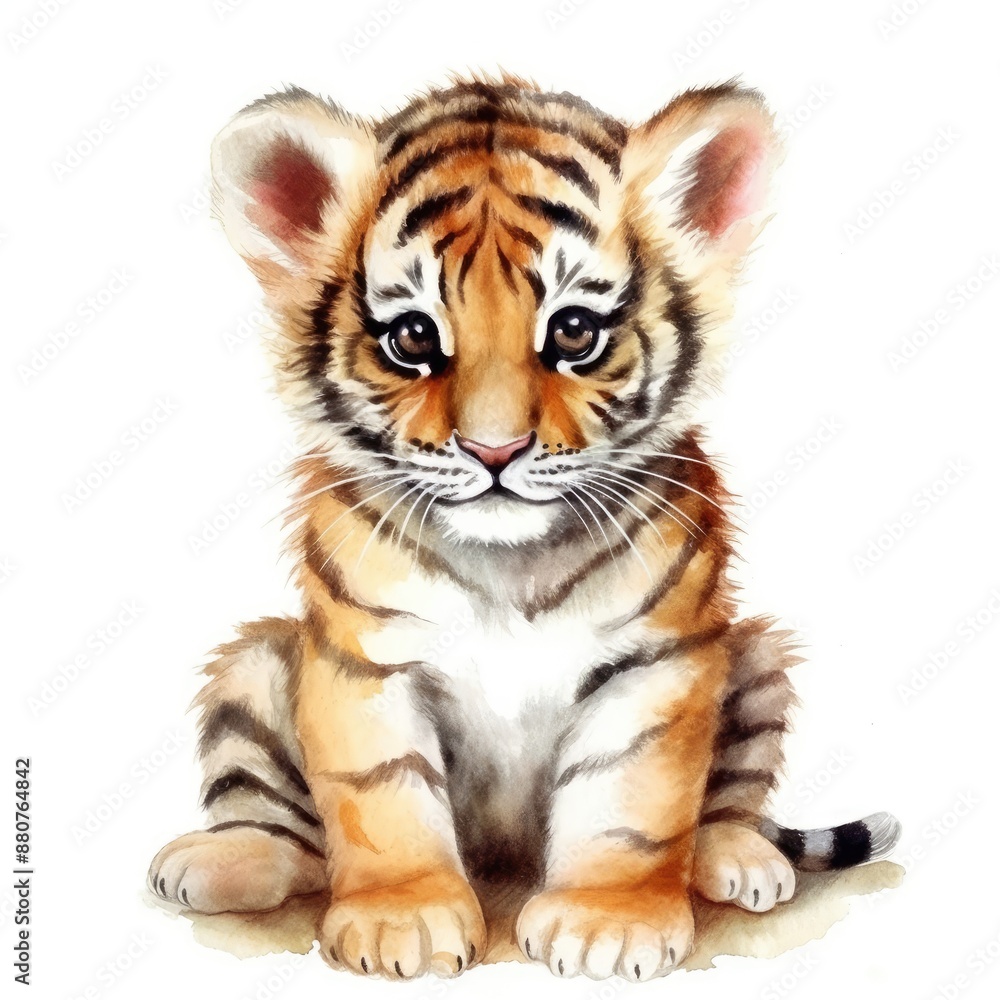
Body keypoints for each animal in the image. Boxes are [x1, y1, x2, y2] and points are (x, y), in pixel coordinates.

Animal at [147, 74, 901, 981]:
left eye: (573, 331)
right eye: (413, 338)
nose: (495, 449)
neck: (508, 565)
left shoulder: (656, 661)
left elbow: (630, 802)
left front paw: (608, 923)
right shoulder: (365, 658)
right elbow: (379, 794)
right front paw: (403, 920)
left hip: (755, 659)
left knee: (728, 800)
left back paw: (739, 858)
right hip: (253, 667)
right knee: (285, 829)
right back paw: (221, 860)